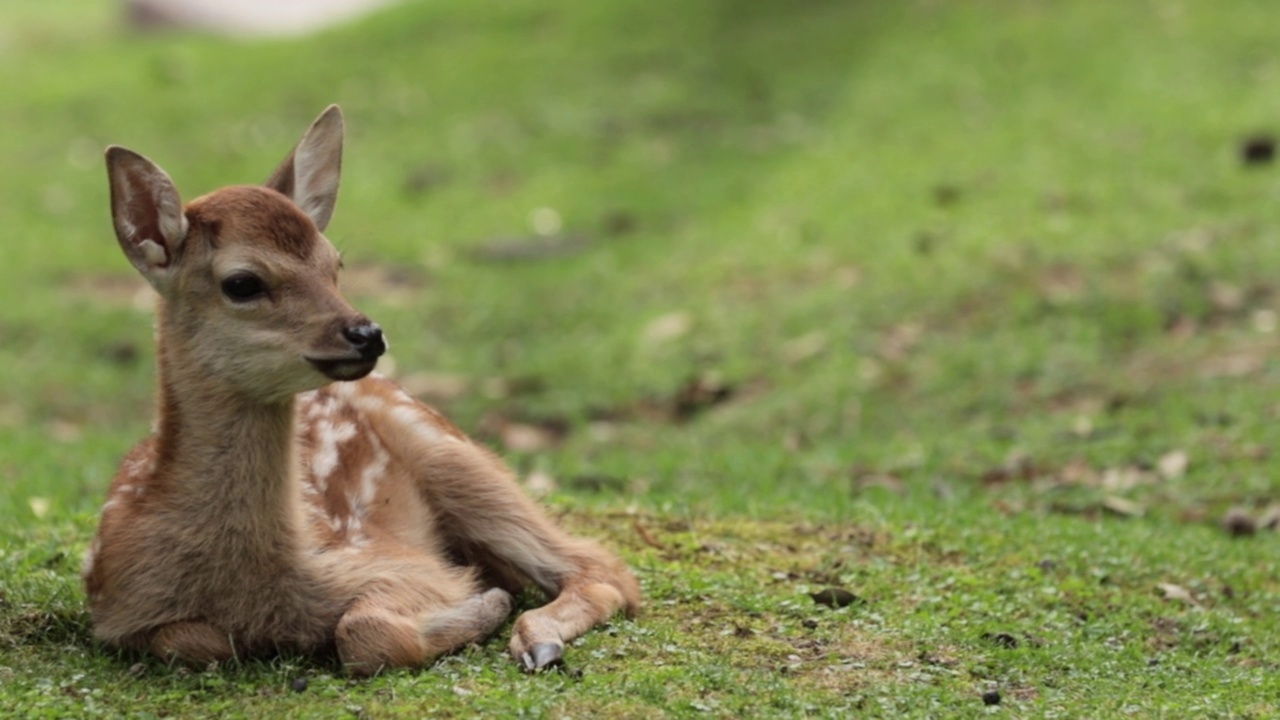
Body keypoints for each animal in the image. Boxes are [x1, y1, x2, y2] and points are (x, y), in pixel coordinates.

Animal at [82, 105, 640, 671]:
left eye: (335, 264)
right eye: (242, 283)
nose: (367, 334)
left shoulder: (392, 561)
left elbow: (363, 630)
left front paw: (482, 608)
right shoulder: (117, 607)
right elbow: (194, 642)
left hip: (456, 459)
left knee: (604, 567)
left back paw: (536, 639)